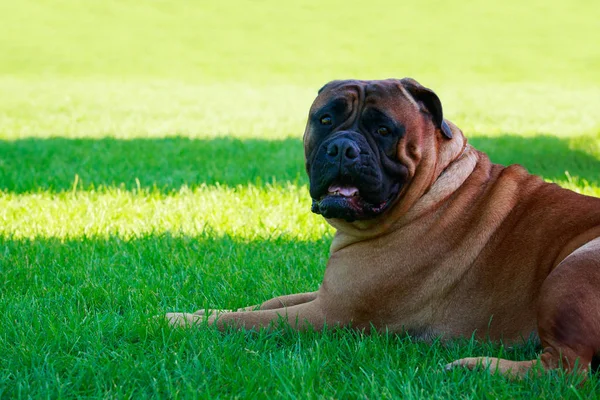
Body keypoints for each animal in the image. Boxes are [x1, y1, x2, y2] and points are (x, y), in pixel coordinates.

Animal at [166, 78, 600, 378]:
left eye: (383, 130)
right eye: (325, 119)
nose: (342, 147)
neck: (430, 189)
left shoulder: (330, 314)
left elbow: (244, 322)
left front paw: (181, 321)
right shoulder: (330, 292)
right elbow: (267, 303)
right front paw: (202, 310)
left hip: (574, 267)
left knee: (565, 370)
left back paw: (474, 366)